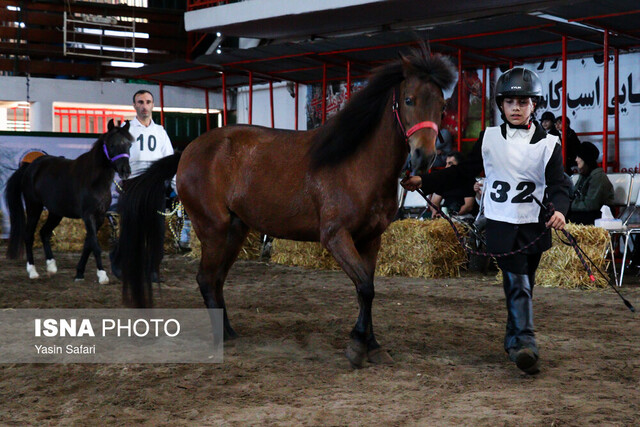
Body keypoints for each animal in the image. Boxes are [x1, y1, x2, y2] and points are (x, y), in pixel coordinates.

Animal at [115, 52, 456, 368]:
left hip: (235, 231)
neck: (357, 163)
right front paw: (357, 346)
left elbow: (367, 289)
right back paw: (221, 339)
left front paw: (372, 345)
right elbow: (365, 287)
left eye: (442, 106)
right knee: (205, 279)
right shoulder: (336, 237)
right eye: (409, 100)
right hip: (212, 229)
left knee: (216, 279)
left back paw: (230, 333)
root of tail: (187, 151)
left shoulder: (371, 239)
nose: (423, 157)